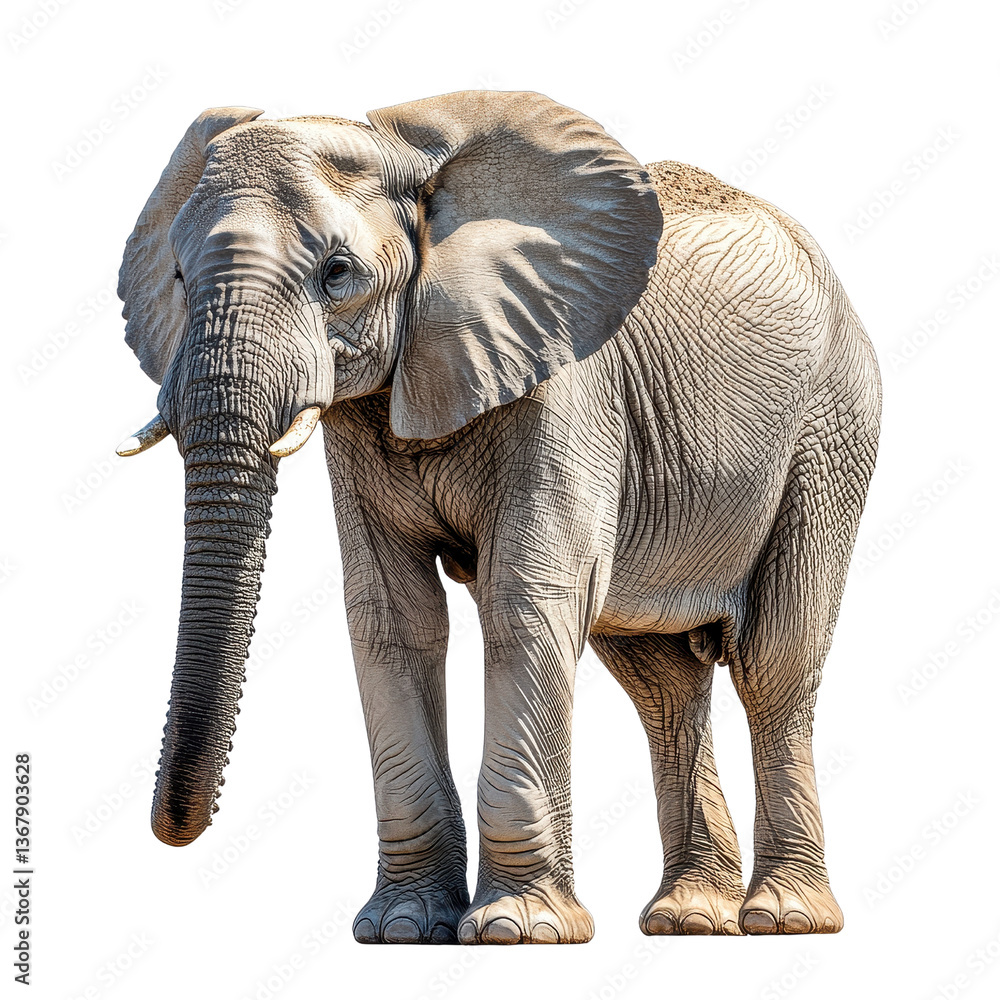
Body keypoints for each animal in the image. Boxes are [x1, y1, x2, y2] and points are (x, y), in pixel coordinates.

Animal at [116, 90, 880, 944]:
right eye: (179, 277)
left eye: (337, 274)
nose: (174, 829)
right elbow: (391, 618)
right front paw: (403, 928)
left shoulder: (567, 386)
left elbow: (526, 603)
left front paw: (518, 930)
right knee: (662, 686)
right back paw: (689, 918)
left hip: (831, 428)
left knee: (774, 662)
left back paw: (785, 916)